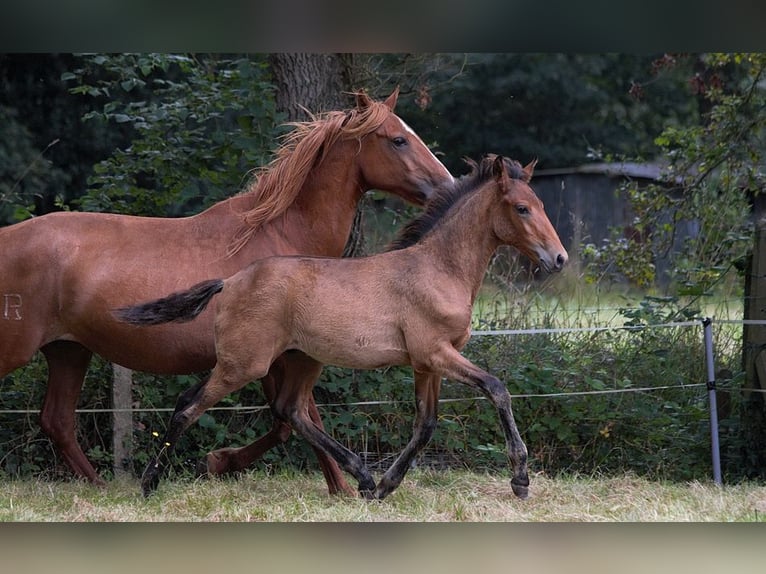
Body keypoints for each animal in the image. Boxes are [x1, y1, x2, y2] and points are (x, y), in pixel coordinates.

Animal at [0, 89, 456, 496]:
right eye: (397, 139)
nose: (448, 186)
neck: (279, 236)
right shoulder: (275, 358)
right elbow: (296, 420)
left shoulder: (280, 359)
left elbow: (291, 421)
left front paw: (336, 487)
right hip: (21, 349)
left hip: (68, 351)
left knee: (57, 420)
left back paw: (101, 488)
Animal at [117, 155, 568, 502]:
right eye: (522, 208)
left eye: (543, 205)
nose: (559, 258)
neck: (439, 269)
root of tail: (231, 281)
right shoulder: (436, 352)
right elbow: (497, 388)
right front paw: (520, 480)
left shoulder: (426, 364)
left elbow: (425, 423)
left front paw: (387, 485)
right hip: (243, 364)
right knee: (189, 406)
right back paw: (149, 484)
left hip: (303, 359)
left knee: (290, 411)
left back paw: (363, 478)